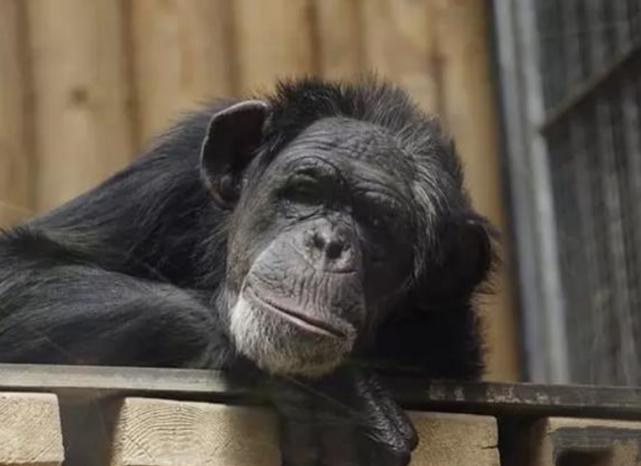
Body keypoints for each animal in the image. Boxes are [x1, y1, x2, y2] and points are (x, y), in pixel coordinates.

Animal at [0, 78, 496, 464]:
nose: (329, 244)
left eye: (378, 223)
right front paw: (335, 393)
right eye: (306, 191)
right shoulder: (170, 171)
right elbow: (18, 263)